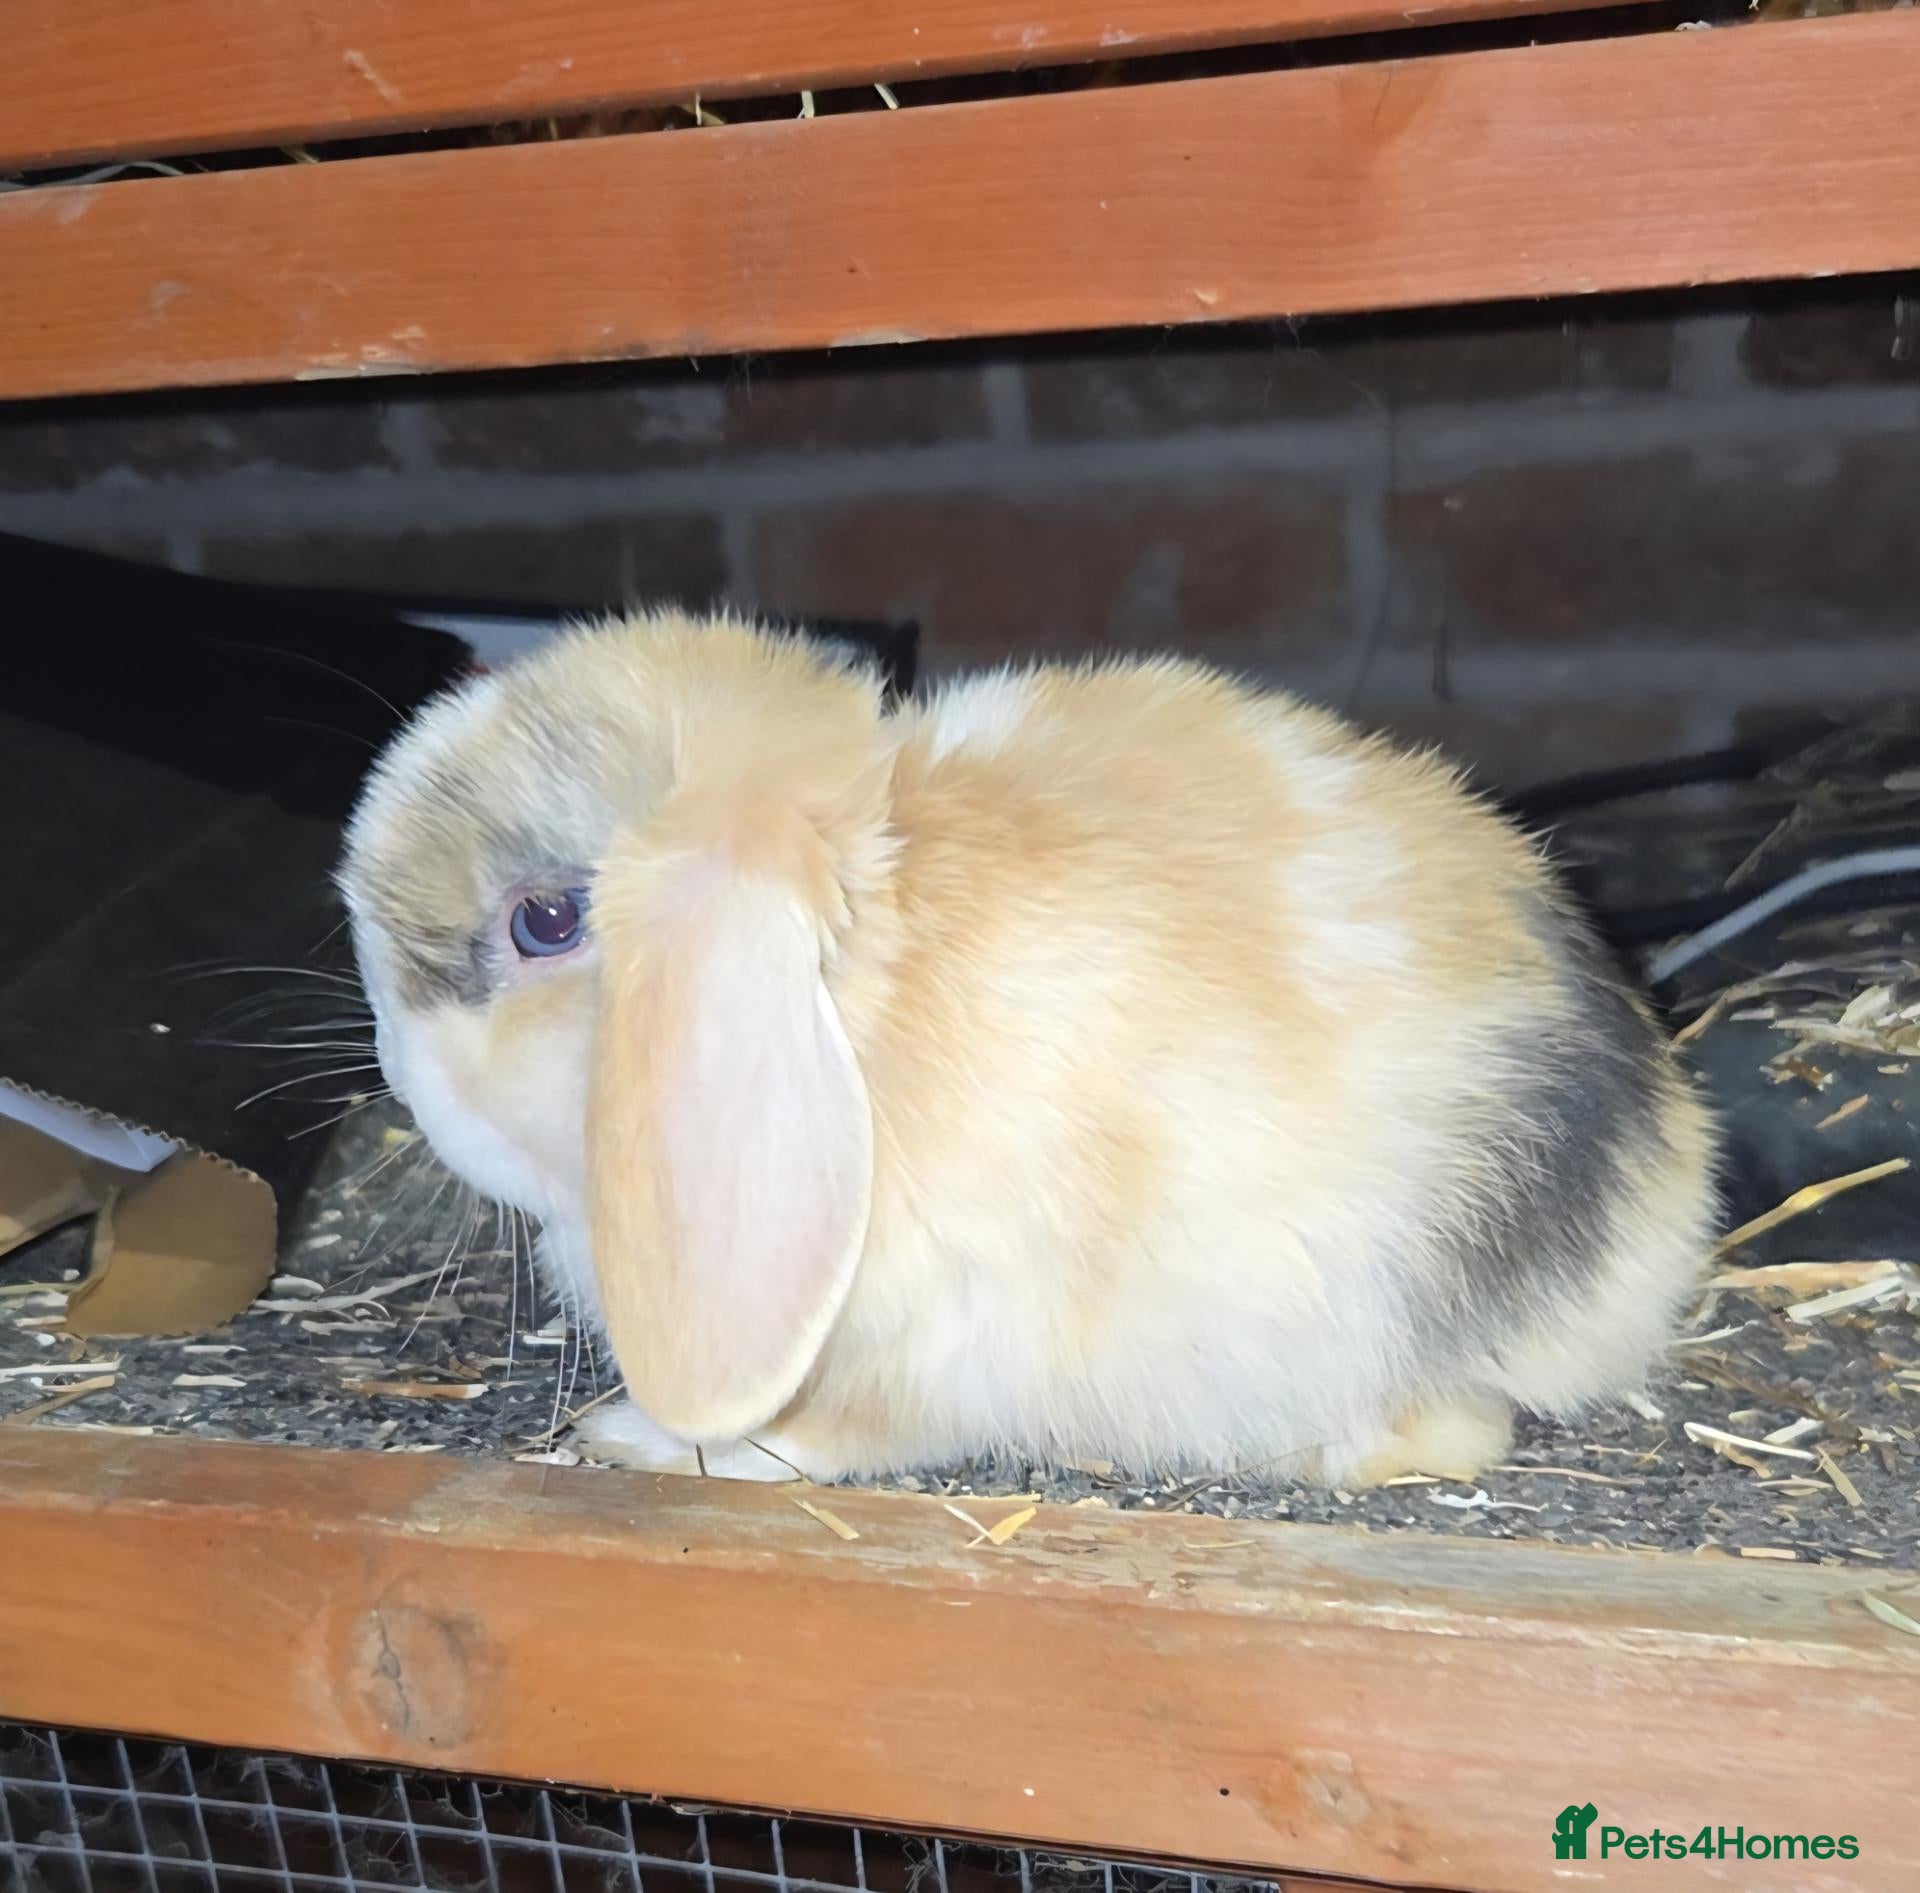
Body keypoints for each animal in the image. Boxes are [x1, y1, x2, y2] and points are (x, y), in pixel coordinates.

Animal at [338, 608, 1716, 1488]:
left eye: (546, 922)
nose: (399, 1074)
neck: (860, 1007)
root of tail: (1664, 1194)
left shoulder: (929, 1340)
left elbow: (832, 1433)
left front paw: (642, 1439)